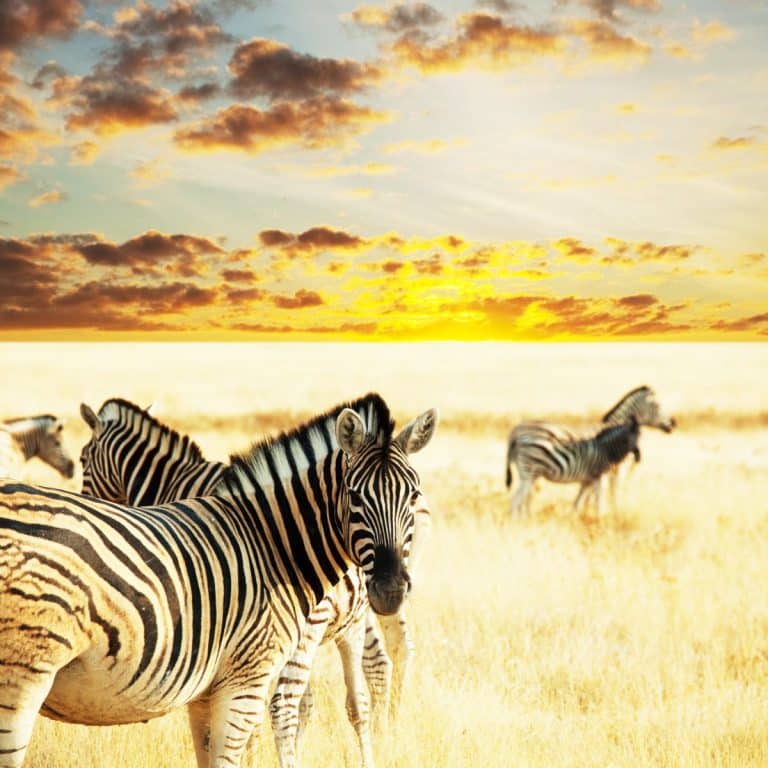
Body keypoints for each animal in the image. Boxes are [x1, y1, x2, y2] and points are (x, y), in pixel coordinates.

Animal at [0, 393, 437, 768]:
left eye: (413, 494)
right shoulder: (236, 672)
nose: (390, 588)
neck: (270, 540)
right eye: (355, 495)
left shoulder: (222, 677)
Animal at [506, 385, 673, 515]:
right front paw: (609, 515)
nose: (673, 423)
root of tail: (516, 430)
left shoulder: (590, 476)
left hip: (531, 473)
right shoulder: (609, 473)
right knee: (518, 500)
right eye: (658, 406)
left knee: (524, 499)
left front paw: (582, 515)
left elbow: (582, 499)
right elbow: (608, 495)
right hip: (529, 472)